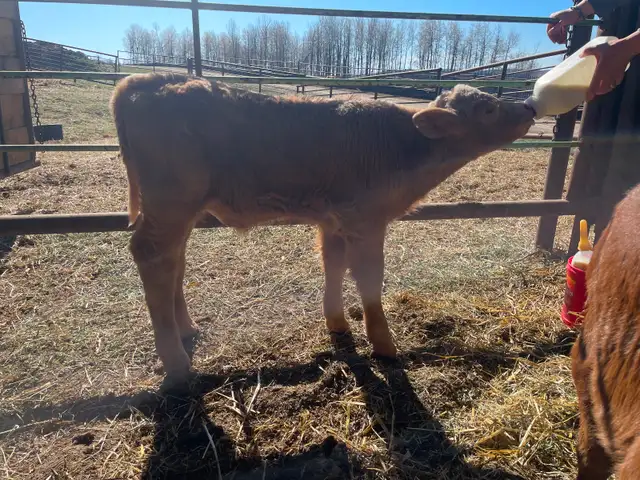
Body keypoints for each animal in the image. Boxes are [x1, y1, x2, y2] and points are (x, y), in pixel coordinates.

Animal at [111, 72, 535, 380]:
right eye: (487, 109)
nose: (529, 107)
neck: (399, 145)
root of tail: (144, 79)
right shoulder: (366, 220)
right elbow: (369, 278)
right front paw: (384, 345)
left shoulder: (334, 221)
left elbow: (334, 265)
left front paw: (338, 324)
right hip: (170, 203)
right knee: (152, 255)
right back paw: (176, 361)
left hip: (180, 211)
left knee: (174, 260)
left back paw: (186, 329)